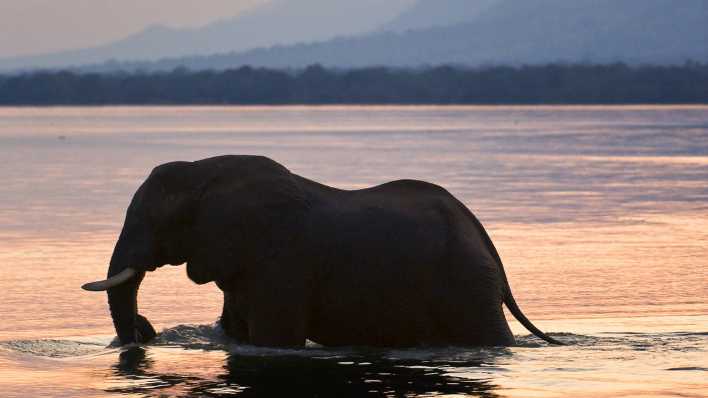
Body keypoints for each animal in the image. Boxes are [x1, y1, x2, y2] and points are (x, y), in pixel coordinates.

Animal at [83, 154, 560, 346]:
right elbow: (236, 332)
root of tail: (482, 233)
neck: (204, 171)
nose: (145, 328)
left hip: (466, 280)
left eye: (154, 221)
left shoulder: (280, 262)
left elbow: (274, 339)